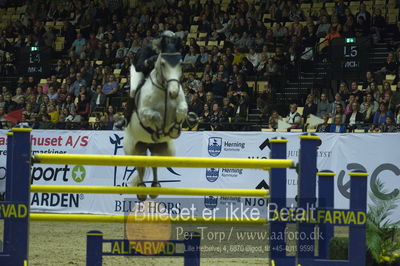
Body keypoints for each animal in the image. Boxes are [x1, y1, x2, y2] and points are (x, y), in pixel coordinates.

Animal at [123, 50, 188, 201]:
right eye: (163, 64)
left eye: (181, 64)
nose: (173, 93)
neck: (164, 90)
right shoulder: (144, 113)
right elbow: (155, 116)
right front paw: (158, 130)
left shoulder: (181, 106)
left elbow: (181, 111)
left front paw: (174, 130)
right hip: (133, 148)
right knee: (139, 165)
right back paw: (142, 191)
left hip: (164, 150)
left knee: (154, 163)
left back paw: (154, 188)